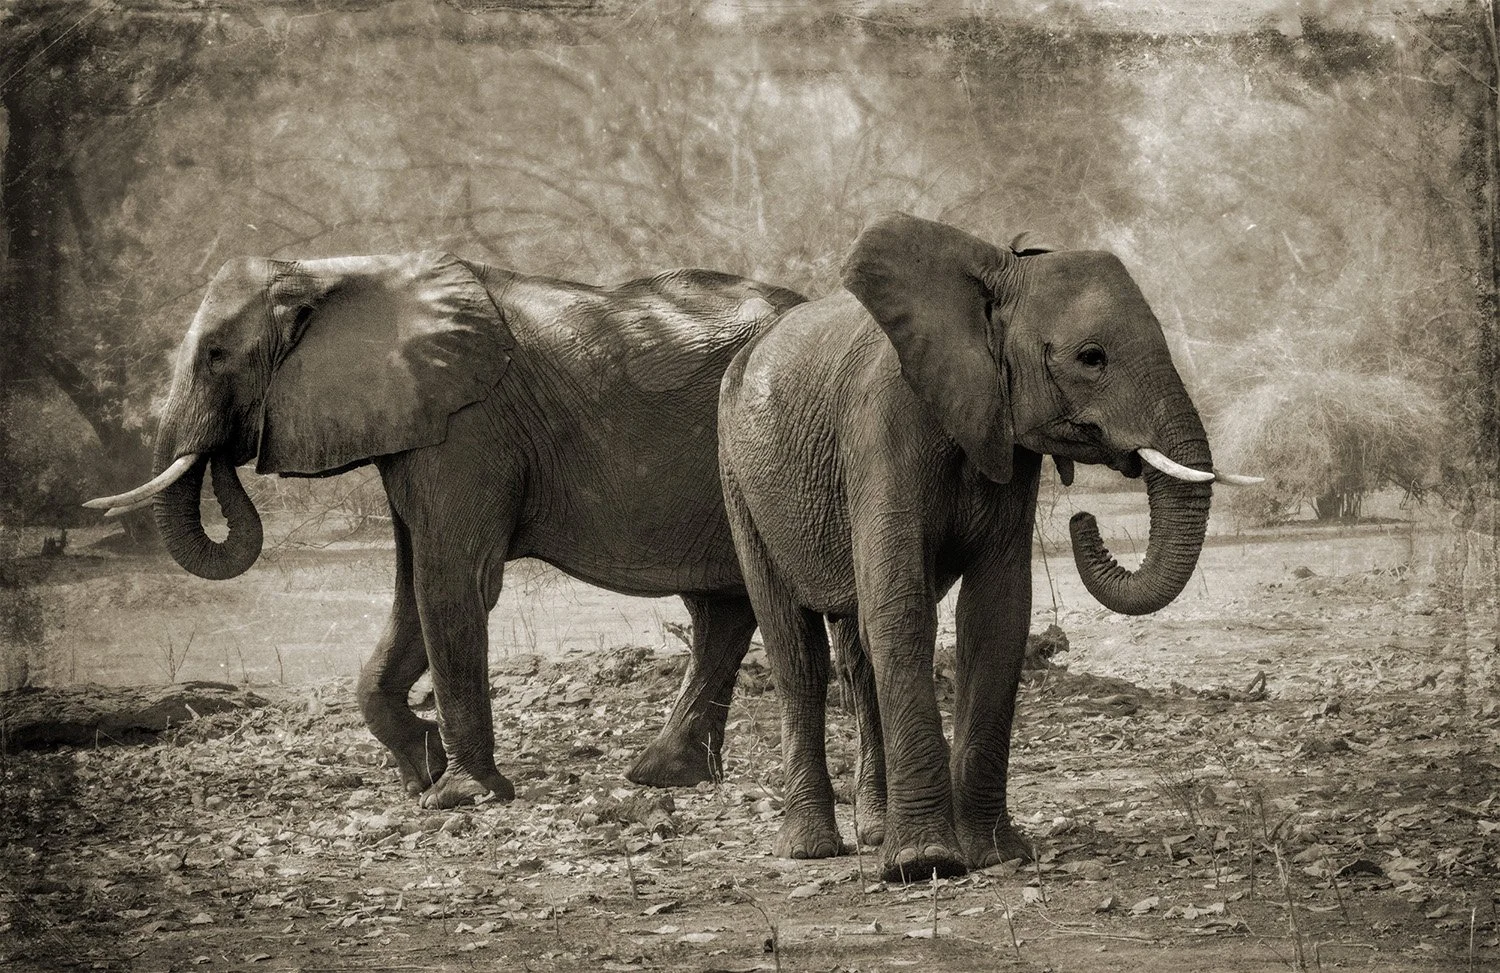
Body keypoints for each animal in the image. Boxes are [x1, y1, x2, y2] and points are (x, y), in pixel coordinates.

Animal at [86, 251, 806, 809]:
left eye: (215, 356)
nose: (229, 451)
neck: (337, 271)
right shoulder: (417, 426)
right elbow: (413, 589)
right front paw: (422, 770)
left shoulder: (467, 426)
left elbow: (451, 584)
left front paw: (457, 795)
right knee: (721, 607)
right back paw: (664, 776)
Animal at [717, 213, 1258, 882]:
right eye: (1091, 358)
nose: (1084, 518)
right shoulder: (880, 427)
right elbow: (901, 608)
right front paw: (925, 864)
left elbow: (997, 615)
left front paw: (997, 856)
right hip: (736, 475)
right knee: (798, 651)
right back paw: (810, 848)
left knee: (856, 653)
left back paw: (873, 834)